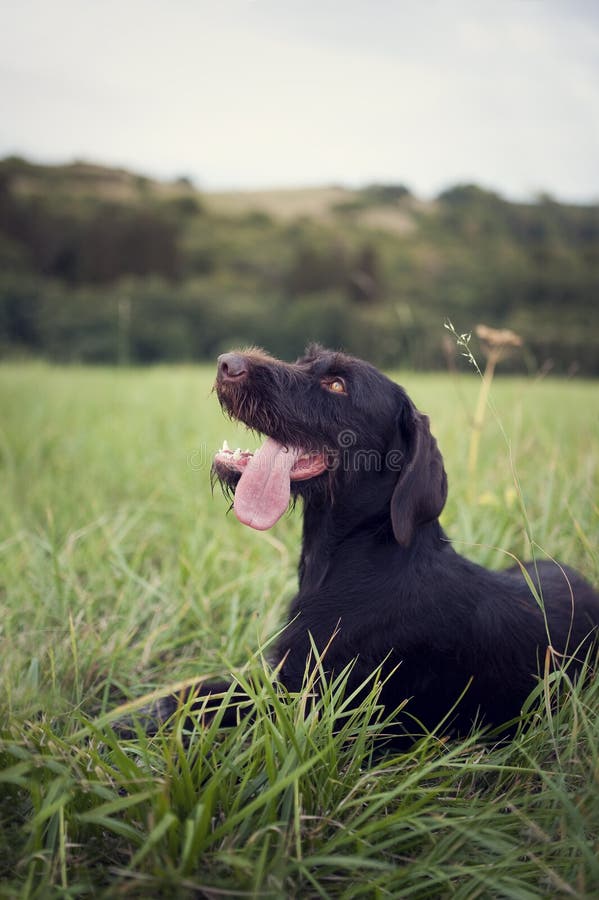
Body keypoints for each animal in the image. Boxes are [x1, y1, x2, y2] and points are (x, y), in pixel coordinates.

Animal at [123, 348, 599, 740]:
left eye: (337, 385)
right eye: (304, 360)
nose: (226, 363)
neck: (356, 556)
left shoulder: (312, 711)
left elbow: (215, 701)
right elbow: (198, 691)